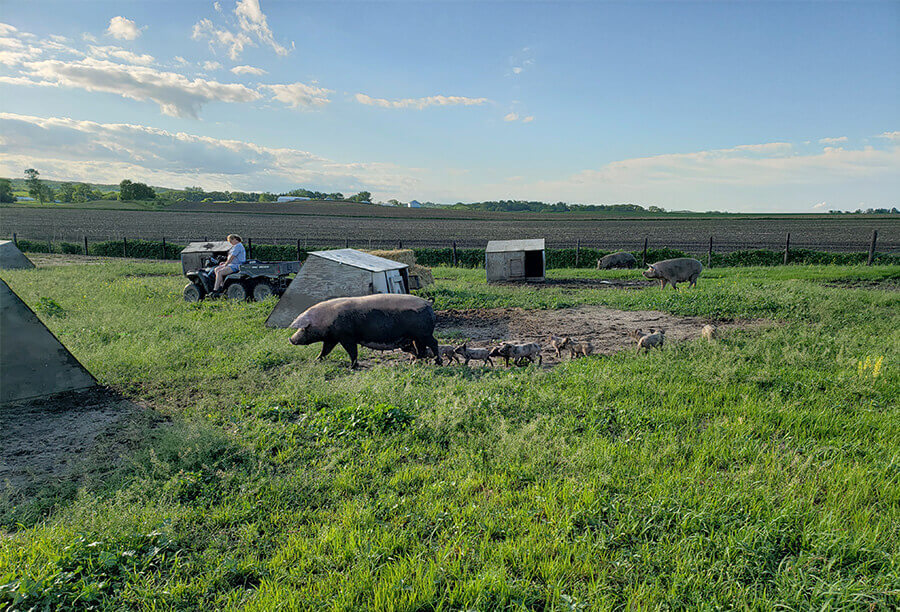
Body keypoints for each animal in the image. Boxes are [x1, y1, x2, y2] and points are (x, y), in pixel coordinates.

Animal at [290, 292, 442, 366]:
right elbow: (325, 350)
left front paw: (352, 366)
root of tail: (428, 303)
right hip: (416, 336)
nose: (291, 339)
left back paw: (437, 362)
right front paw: (316, 360)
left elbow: (352, 352)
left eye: (303, 329)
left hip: (424, 333)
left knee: (434, 343)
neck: (325, 319)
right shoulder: (332, 338)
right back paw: (415, 362)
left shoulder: (346, 337)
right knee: (420, 348)